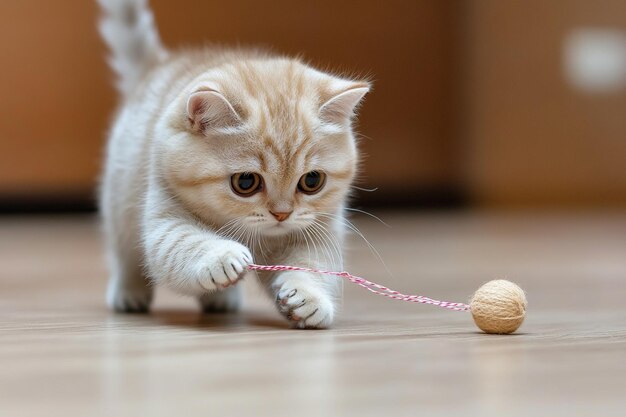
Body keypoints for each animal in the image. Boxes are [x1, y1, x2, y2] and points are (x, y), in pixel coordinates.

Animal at [98, 0, 366, 328]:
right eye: (246, 183)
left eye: (312, 181)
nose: (282, 214)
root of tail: (160, 65)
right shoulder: (165, 215)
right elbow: (182, 244)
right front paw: (223, 257)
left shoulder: (320, 229)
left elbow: (314, 264)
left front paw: (309, 298)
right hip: (120, 200)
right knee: (124, 254)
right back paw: (129, 293)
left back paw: (221, 300)